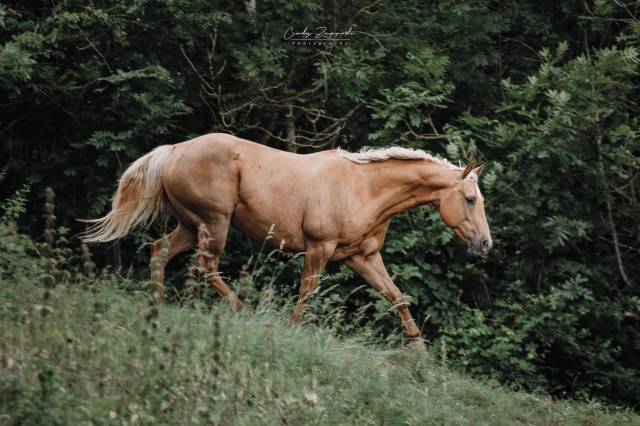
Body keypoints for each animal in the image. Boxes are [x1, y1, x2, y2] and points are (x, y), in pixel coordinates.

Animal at [82, 133, 492, 344]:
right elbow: (306, 294)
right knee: (207, 265)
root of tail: (173, 151)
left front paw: (419, 351)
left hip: (190, 224)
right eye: (470, 199)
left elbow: (397, 297)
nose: (485, 244)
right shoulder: (319, 248)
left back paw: (158, 304)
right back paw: (243, 312)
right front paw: (291, 331)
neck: (364, 188)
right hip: (214, 224)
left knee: (159, 251)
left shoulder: (363, 257)